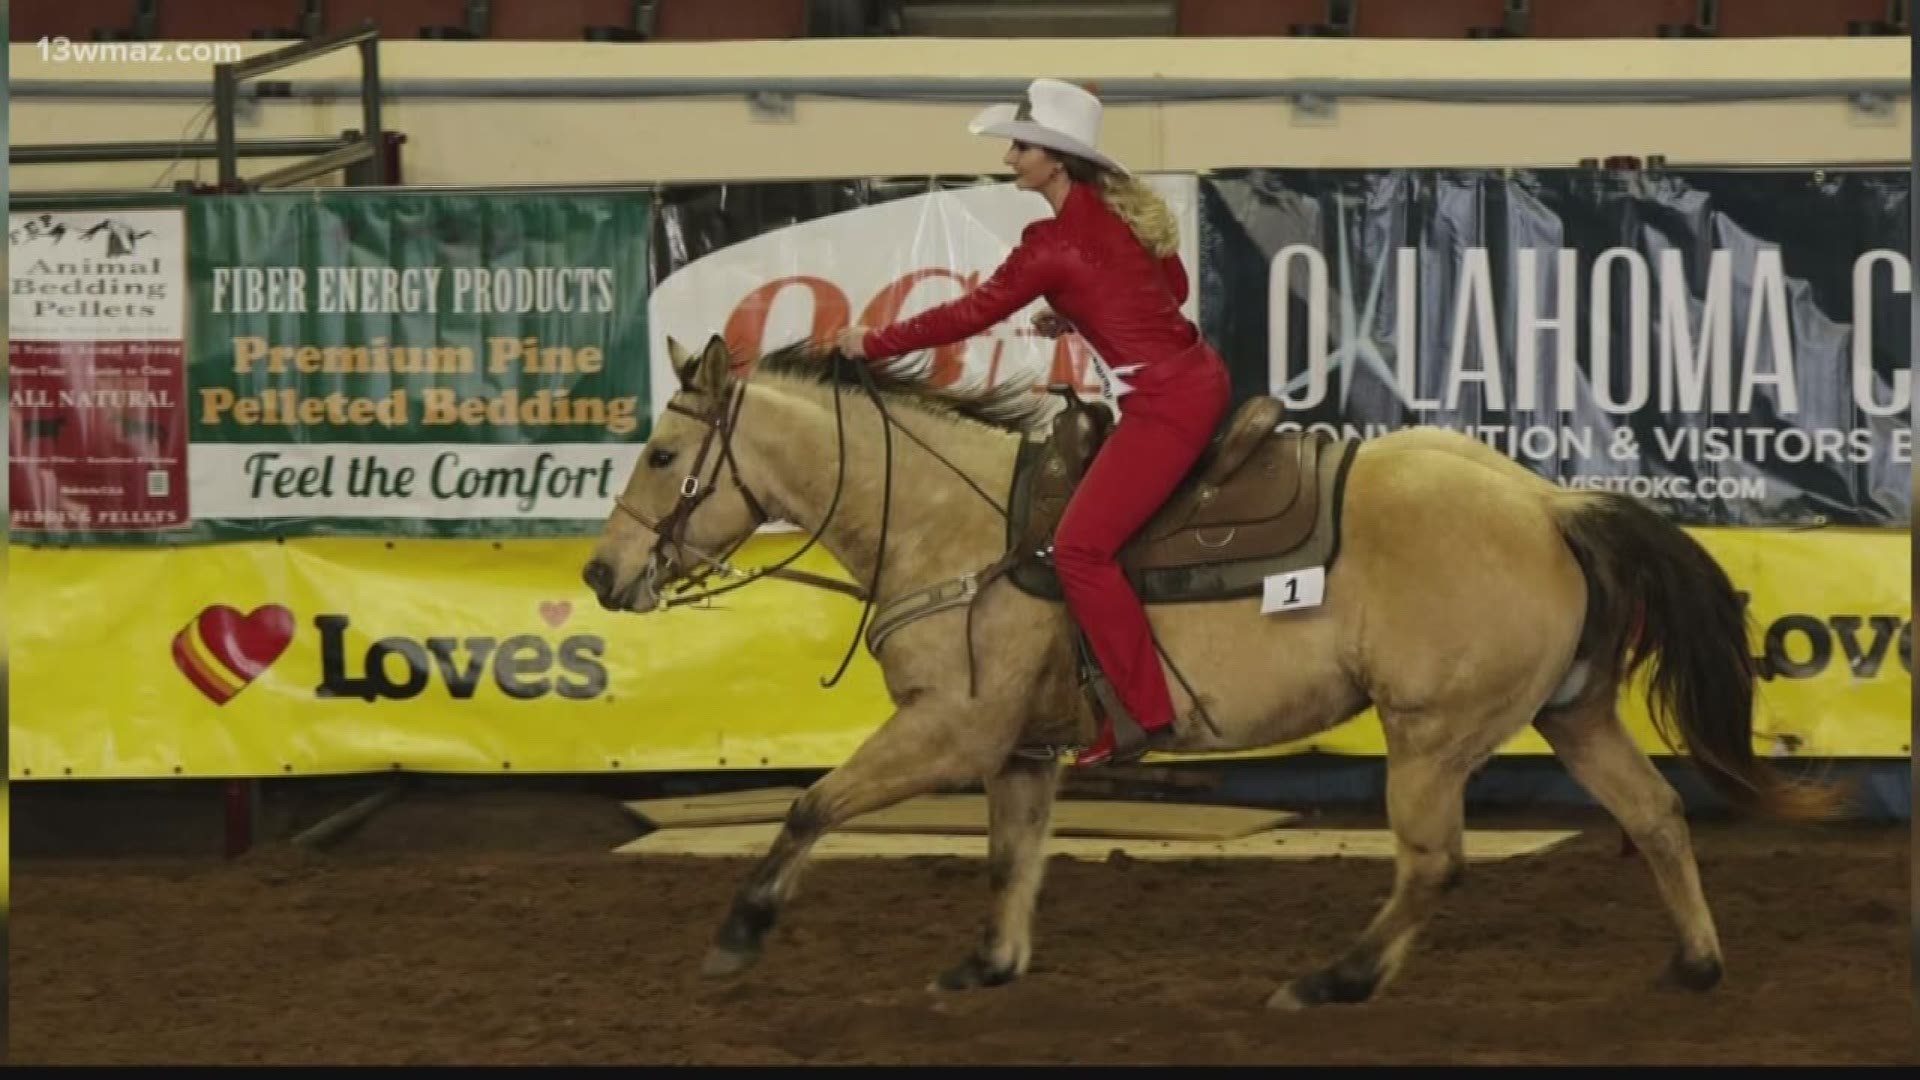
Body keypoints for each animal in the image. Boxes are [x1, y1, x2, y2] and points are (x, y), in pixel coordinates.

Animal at [583, 332, 1843, 1006]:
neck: (961, 525)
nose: (600, 573)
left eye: (663, 452)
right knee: (1655, 818)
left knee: (1434, 864)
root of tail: (1548, 503)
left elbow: (809, 807)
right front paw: (988, 965)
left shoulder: (953, 730)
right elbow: (1009, 859)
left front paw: (739, 935)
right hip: (1572, 717)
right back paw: (1694, 965)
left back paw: (1334, 980)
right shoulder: (1023, 752)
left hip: (1430, 736)